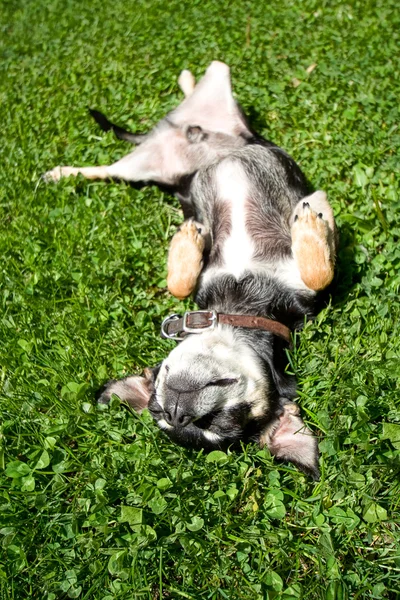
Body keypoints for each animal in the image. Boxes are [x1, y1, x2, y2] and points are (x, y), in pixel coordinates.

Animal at [44, 61, 338, 480]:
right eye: (159, 412)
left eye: (219, 421)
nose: (178, 412)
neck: (235, 309)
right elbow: (180, 288)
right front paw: (186, 243)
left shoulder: (310, 295)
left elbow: (320, 273)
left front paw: (313, 222)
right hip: (143, 172)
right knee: (104, 169)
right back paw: (62, 172)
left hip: (198, 114)